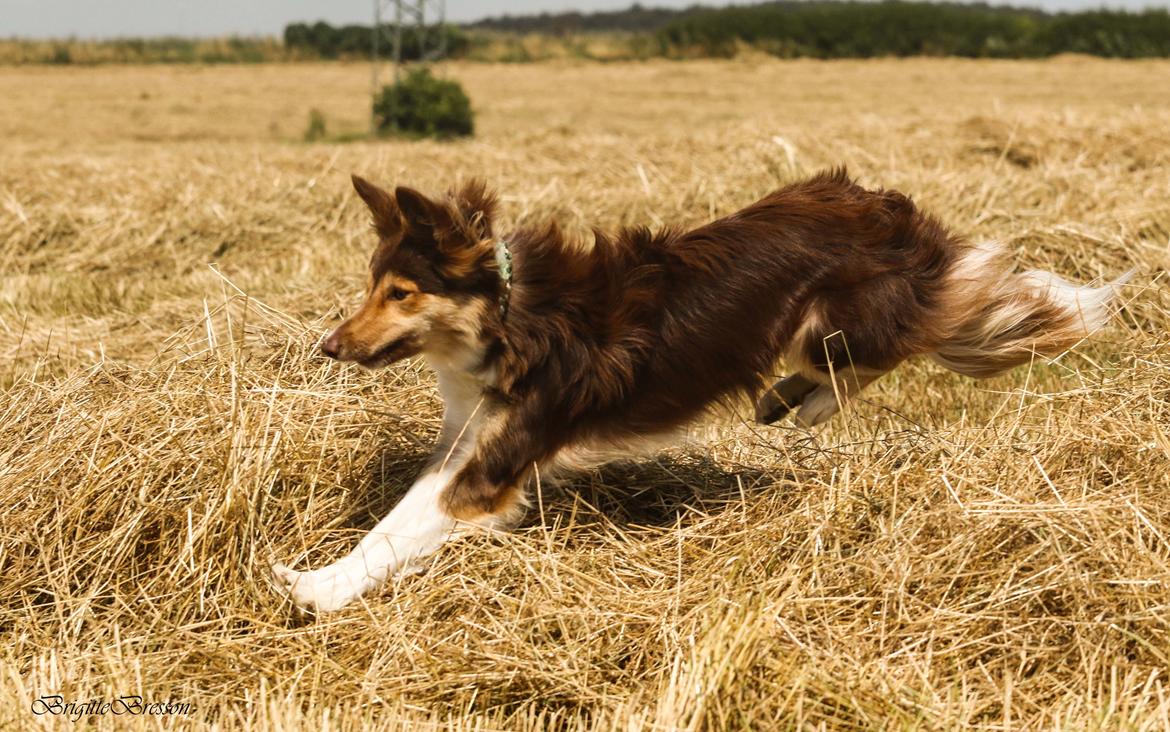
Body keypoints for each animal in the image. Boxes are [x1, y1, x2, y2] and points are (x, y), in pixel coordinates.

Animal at [271, 168, 1123, 608]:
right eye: (373, 286)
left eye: (402, 293)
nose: (327, 345)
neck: (507, 314)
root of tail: (890, 209)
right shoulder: (466, 443)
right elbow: (394, 519)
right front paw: (315, 574)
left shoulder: (493, 466)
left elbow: (402, 532)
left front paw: (315, 590)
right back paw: (784, 399)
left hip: (834, 323)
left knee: (888, 350)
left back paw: (804, 403)